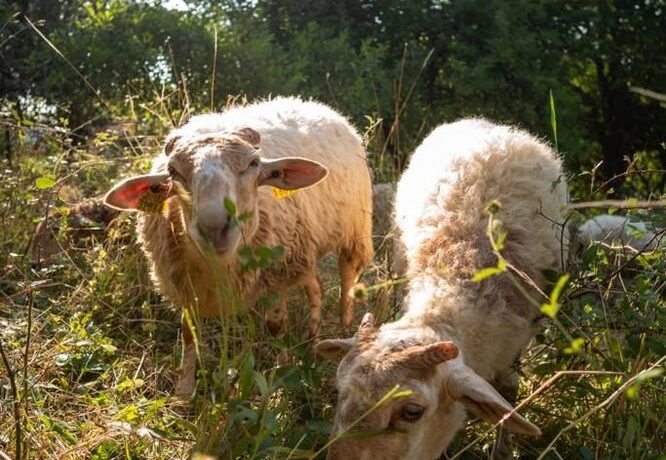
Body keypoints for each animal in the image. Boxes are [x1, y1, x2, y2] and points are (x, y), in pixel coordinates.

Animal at [104, 97, 374, 396]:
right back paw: (311, 337)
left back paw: (344, 328)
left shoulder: (275, 273)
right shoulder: (183, 282)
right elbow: (189, 331)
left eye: (253, 163)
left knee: (346, 282)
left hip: (354, 230)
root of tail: (310, 102)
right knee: (315, 288)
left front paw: (280, 377)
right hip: (305, 248)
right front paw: (184, 389)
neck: (220, 265)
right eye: (173, 172)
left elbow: (276, 325)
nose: (214, 227)